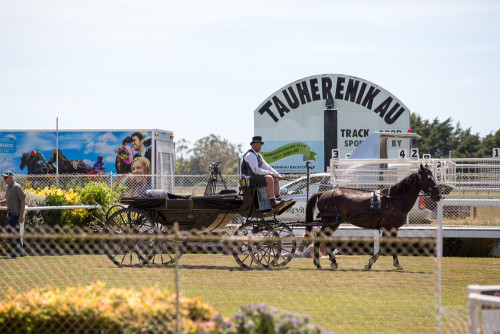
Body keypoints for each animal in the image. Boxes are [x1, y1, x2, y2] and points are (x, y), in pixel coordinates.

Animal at [304, 164, 442, 272]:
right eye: (428, 178)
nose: (438, 195)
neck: (393, 200)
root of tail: (323, 193)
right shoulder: (389, 227)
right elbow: (386, 246)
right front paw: (371, 263)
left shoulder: (392, 228)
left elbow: (391, 245)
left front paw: (395, 264)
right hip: (331, 223)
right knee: (321, 239)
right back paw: (327, 262)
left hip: (330, 223)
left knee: (320, 239)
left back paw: (322, 263)